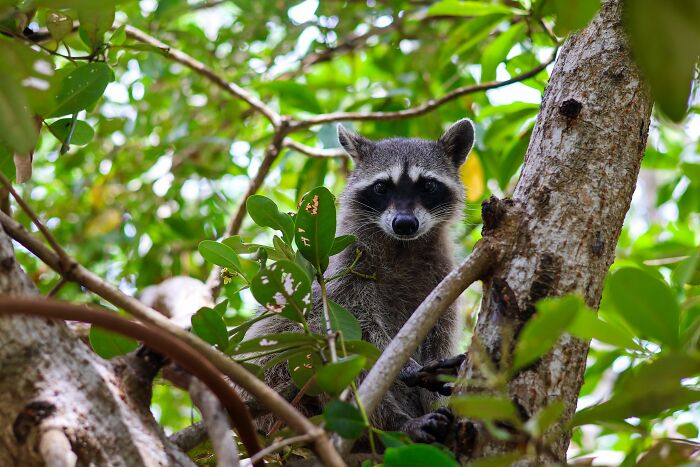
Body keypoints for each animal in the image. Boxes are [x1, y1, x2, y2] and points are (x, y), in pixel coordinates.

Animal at [247, 119, 475, 444]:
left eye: (428, 185)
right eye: (381, 187)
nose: (405, 224)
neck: (402, 246)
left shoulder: (442, 277)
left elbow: (439, 334)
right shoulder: (346, 268)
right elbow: (353, 325)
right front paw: (404, 366)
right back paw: (396, 423)